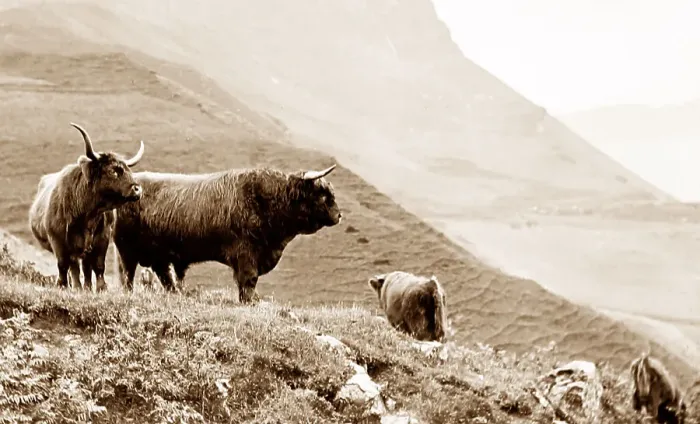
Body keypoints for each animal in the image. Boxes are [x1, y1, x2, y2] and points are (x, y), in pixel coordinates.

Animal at [28, 123, 145, 291]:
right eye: (113, 171)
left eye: (129, 170)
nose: (137, 189)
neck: (87, 214)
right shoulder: (58, 240)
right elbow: (63, 265)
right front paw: (63, 285)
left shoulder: (102, 239)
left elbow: (98, 266)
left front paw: (101, 288)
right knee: (74, 267)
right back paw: (77, 286)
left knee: (84, 267)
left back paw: (87, 287)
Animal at [111, 164, 342, 304]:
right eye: (323, 195)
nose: (339, 215)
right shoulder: (246, 255)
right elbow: (248, 281)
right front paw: (249, 302)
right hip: (126, 250)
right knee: (128, 275)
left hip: (157, 255)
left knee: (164, 276)